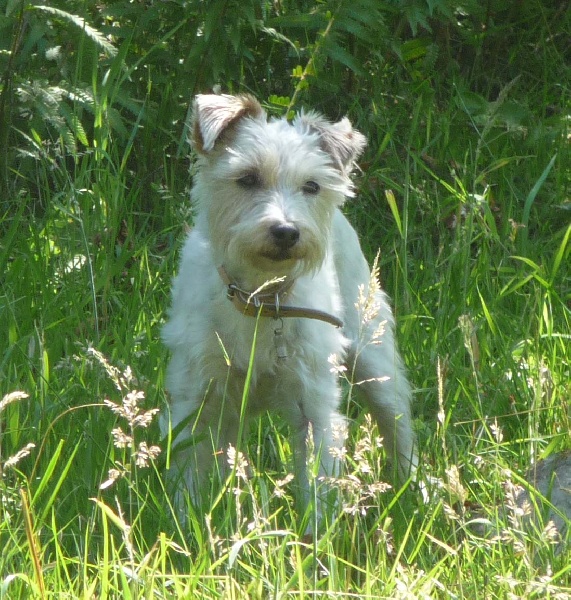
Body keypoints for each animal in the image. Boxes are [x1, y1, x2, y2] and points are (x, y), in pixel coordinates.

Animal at [161, 95, 416, 520]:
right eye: (247, 178)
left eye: (312, 186)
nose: (286, 231)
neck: (261, 299)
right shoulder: (197, 397)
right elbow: (188, 475)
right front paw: (187, 523)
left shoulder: (312, 405)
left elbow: (318, 482)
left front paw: (316, 534)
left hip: (373, 360)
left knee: (397, 425)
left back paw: (416, 493)